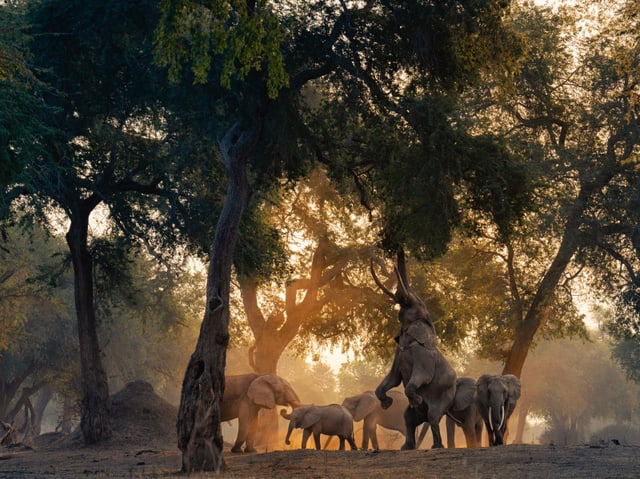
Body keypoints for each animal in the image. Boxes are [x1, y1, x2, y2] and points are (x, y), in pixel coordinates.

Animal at [372, 256, 458, 452]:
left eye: (417, 303)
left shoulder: (423, 357)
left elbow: (421, 377)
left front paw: (418, 399)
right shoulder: (399, 354)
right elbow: (392, 378)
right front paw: (387, 403)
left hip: (444, 398)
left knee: (433, 416)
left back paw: (436, 446)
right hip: (413, 414)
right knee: (408, 419)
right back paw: (406, 447)